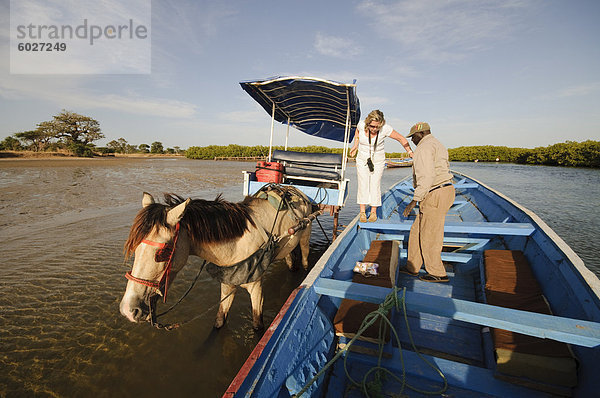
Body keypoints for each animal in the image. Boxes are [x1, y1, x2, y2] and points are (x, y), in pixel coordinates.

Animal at [118, 187, 314, 330]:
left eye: (164, 251)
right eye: (135, 247)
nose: (128, 310)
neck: (238, 243)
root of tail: (295, 189)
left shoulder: (256, 287)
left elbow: (257, 325)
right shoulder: (227, 283)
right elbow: (220, 320)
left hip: (305, 236)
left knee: (305, 257)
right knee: (290, 258)